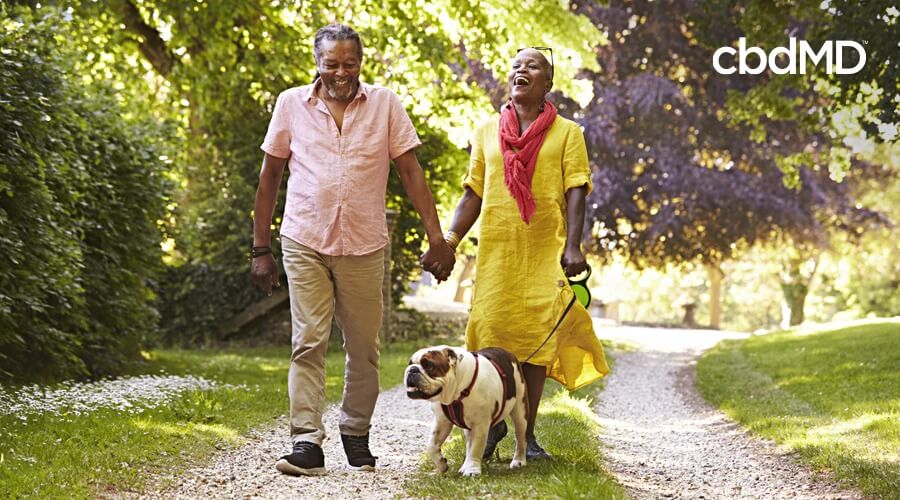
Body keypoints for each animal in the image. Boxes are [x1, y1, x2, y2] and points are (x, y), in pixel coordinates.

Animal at [402, 346, 528, 474]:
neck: (457, 393)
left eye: (429, 366)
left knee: (520, 438)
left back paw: (518, 461)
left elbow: (476, 447)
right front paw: (442, 465)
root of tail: (507, 352)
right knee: (469, 443)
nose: (412, 370)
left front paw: (472, 470)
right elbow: (432, 445)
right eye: (410, 363)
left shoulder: (480, 424)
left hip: (520, 411)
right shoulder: (441, 421)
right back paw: (464, 466)